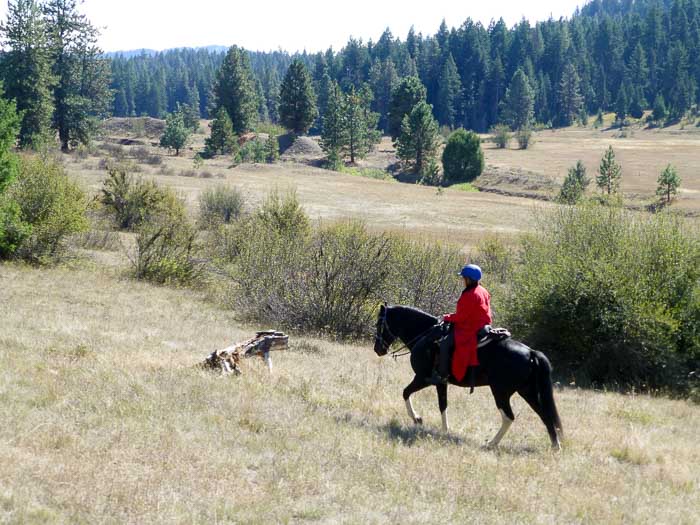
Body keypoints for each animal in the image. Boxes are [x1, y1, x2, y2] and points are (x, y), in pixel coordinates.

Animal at [372, 302, 564, 446]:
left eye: (379, 324)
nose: (377, 349)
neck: (426, 335)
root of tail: (531, 353)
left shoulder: (423, 378)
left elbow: (406, 392)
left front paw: (417, 418)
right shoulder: (440, 383)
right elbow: (443, 405)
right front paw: (444, 431)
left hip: (501, 393)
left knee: (509, 417)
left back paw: (491, 443)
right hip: (527, 392)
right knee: (545, 415)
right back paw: (555, 446)